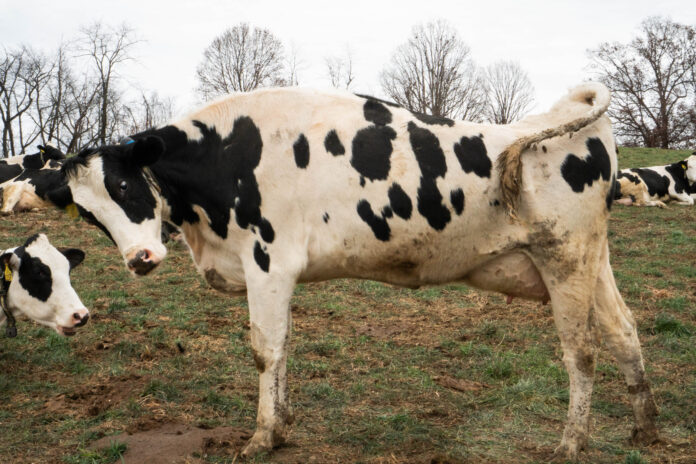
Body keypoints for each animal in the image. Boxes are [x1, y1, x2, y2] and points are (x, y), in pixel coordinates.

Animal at [51, 83, 659, 460]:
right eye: (90, 213)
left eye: (124, 185)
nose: (140, 260)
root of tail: (564, 120)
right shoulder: (276, 275)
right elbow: (284, 347)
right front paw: (282, 426)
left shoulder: (268, 263)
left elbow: (265, 350)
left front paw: (262, 437)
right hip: (592, 261)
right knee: (624, 331)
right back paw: (645, 427)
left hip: (565, 259)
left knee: (581, 351)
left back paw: (572, 444)